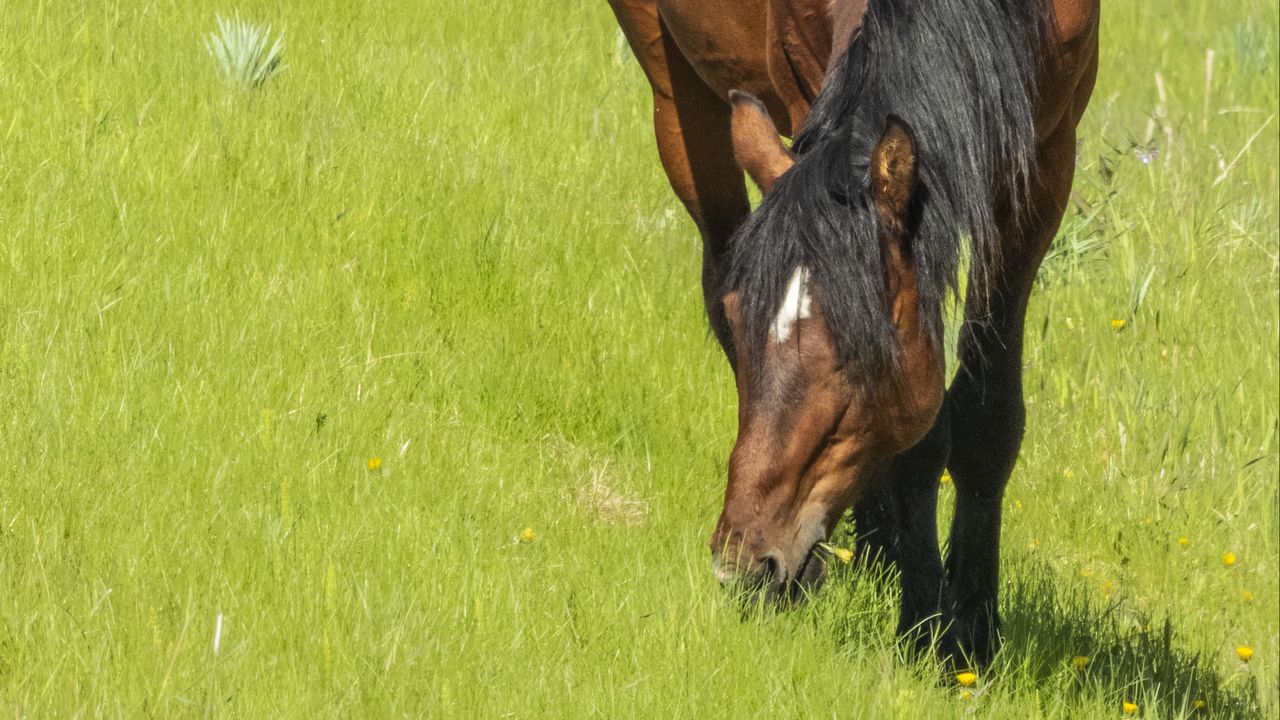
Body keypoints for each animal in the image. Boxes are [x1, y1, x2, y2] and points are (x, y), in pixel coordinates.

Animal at [609, 0, 1100, 661]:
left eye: (858, 351)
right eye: (744, 320)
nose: (741, 562)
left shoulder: (1044, 160)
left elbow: (987, 417)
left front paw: (973, 630)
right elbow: (923, 439)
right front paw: (925, 627)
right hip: (676, 96)